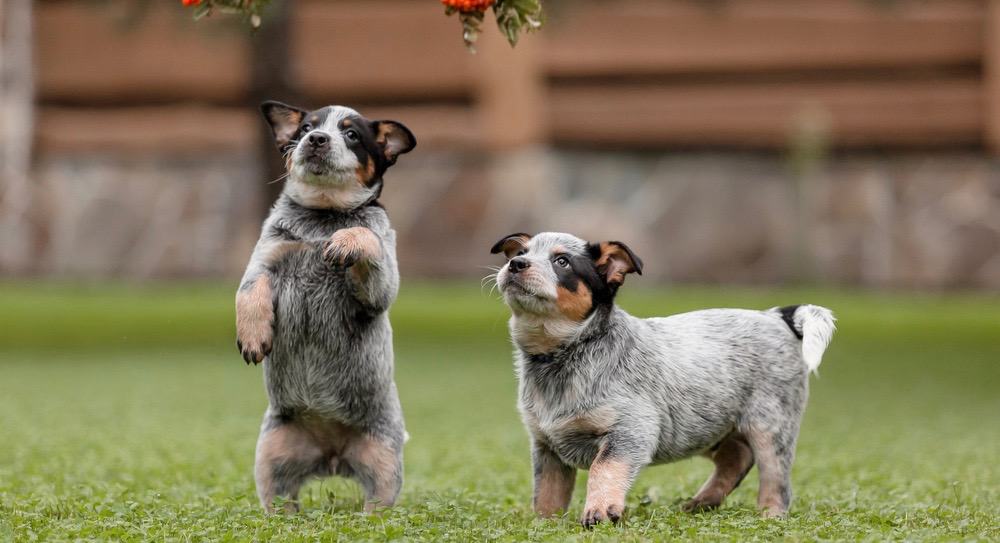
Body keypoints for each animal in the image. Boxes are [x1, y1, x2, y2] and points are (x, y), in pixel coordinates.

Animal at [237, 102, 414, 516]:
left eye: (351, 134)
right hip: (271, 457)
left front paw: (346, 240)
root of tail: (331, 455)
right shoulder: (265, 261)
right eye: (305, 128)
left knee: (378, 501)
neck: (323, 215)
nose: (317, 139)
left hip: (383, 460)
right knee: (280, 499)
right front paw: (253, 336)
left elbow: (365, 236)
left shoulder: (379, 287)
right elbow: (248, 293)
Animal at [490, 233, 836, 528]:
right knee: (736, 457)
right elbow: (546, 496)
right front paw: (544, 525)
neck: (562, 354)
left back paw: (770, 515)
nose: (516, 264)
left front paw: (600, 510)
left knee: (775, 481)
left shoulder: (632, 431)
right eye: (521, 252)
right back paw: (702, 502)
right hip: (699, 426)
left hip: (770, 427)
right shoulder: (546, 446)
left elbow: (604, 468)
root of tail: (776, 316)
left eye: (562, 261)